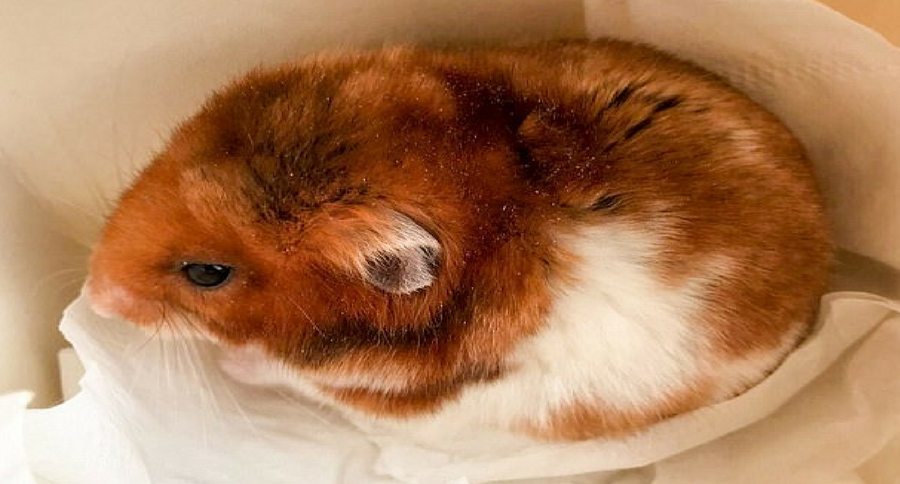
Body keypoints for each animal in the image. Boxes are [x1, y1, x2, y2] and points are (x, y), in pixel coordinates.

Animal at [87, 39, 832, 441]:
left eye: (207, 273)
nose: (93, 294)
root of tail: (822, 252)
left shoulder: (383, 398)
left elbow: (286, 373)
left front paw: (232, 364)